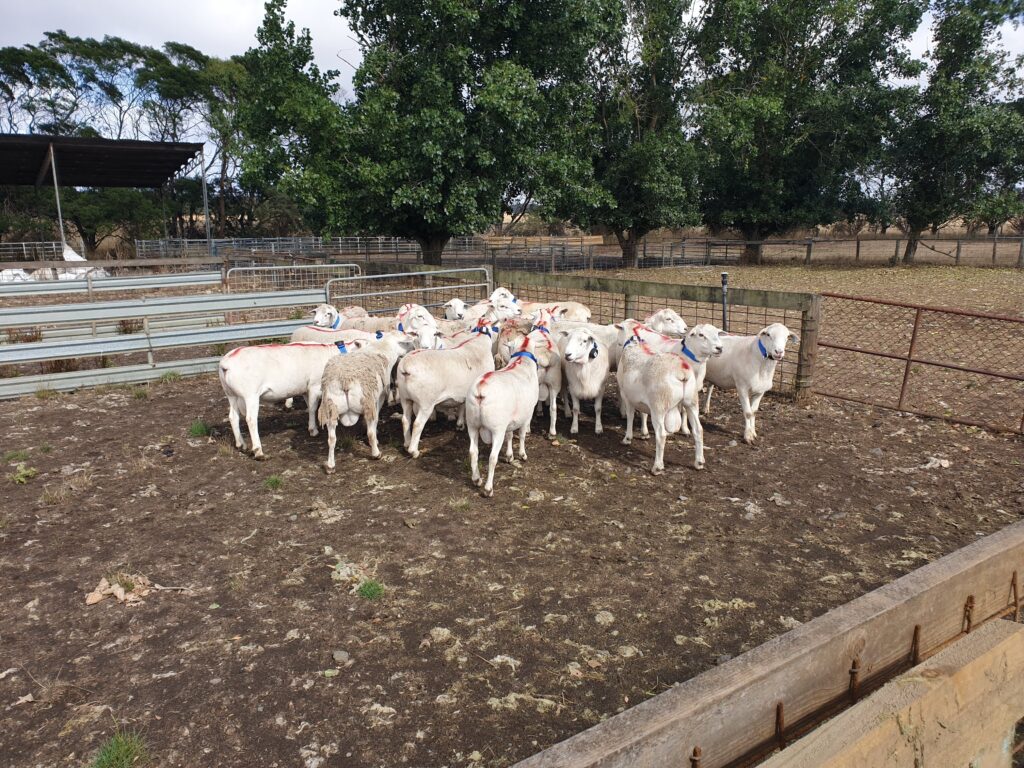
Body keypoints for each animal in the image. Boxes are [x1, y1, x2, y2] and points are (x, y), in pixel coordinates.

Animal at [219, 340, 366, 460]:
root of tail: (226, 363)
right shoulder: (314, 386)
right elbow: (313, 408)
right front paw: (313, 431)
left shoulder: (306, 388)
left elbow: (309, 406)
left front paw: (311, 427)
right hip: (250, 394)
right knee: (250, 419)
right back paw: (258, 451)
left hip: (231, 394)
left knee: (233, 417)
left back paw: (240, 444)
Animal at [317, 334, 414, 471]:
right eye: (405, 342)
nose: (414, 348)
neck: (382, 349)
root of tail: (344, 380)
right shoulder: (378, 398)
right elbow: (374, 422)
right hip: (367, 402)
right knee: (370, 432)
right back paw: (376, 453)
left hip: (331, 407)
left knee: (331, 439)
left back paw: (330, 465)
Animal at [396, 325, 496, 457]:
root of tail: (406, 367)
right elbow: (463, 406)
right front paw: (460, 423)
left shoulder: (463, 391)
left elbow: (461, 404)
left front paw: (459, 424)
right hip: (426, 402)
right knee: (417, 424)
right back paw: (414, 451)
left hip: (405, 398)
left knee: (405, 420)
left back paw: (406, 443)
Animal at [466, 337, 544, 496]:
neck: (522, 358)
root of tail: (481, 388)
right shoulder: (527, 415)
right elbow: (521, 435)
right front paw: (522, 455)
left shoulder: (510, 419)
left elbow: (510, 435)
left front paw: (509, 456)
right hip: (497, 429)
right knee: (492, 457)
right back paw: (488, 488)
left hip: (472, 424)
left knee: (473, 452)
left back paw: (476, 479)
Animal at [618, 337, 704, 474]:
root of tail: (682, 370)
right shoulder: (641, 400)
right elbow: (643, 414)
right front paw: (644, 433)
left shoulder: (626, 395)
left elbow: (630, 416)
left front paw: (627, 438)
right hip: (692, 402)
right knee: (698, 430)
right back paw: (699, 462)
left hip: (659, 406)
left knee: (661, 435)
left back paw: (657, 467)